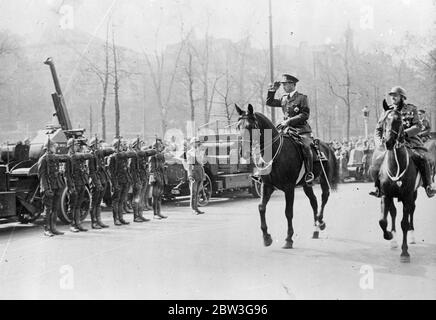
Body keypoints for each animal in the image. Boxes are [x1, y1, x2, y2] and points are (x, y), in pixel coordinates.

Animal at [235, 104, 340, 249]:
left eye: (250, 126)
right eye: (237, 126)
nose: (243, 152)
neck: (275, 152)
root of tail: (327, 146)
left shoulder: (289, 188)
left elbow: (288, 212)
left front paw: (288, 239)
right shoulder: (267, 186)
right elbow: (261, 207)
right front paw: (266, 237)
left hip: (324, 179)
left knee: (324, 197)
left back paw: (320, 221)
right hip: (306, 184)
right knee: (313, 201)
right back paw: (315, 229)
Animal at [378, 107, 422, 262]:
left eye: (399, 120)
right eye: (384, 120)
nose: (389, 142)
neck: (396, 165)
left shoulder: (408, 195)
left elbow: (404, 223)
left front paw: (405, 252)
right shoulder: (386, 195)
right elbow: (383, 220)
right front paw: (389, 235)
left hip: (413, 194)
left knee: (411, 211)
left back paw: (412, 235)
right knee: (393, 213)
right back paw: (393, 239)